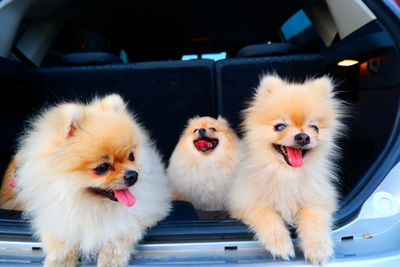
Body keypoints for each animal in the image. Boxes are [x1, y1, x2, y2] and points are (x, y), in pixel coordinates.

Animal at [1, 95, 170, 266]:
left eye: (131, 156)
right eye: (102, 167)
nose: (132, 175)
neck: (92, 206)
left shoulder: (148, 211)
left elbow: (121, 232)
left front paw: (110, 258)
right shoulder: (53, 212)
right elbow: (59, 238)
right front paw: (60, 260)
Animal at [227, 74, 346, 264]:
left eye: (314, 128)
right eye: (280, 127)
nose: (303, 137)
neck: (286, 174)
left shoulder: (316, 199)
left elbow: (313, 219)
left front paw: (318, 248)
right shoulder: (247, 202)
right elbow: (266, 215)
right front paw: (280, 244)